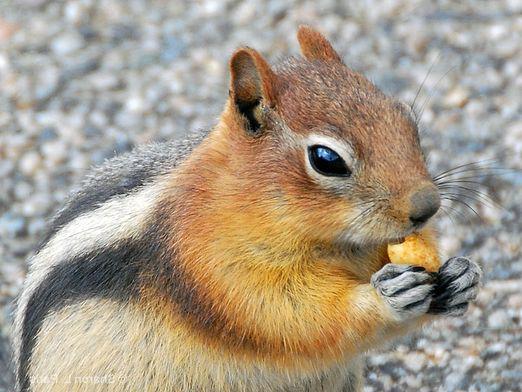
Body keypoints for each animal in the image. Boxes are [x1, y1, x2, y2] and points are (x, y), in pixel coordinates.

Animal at [12, 26, 480, 390]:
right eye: (326, 159)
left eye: (406, 119)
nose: (427, 206)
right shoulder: (208, 264)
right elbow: (283, 315)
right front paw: (386, 297)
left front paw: (461, 276)